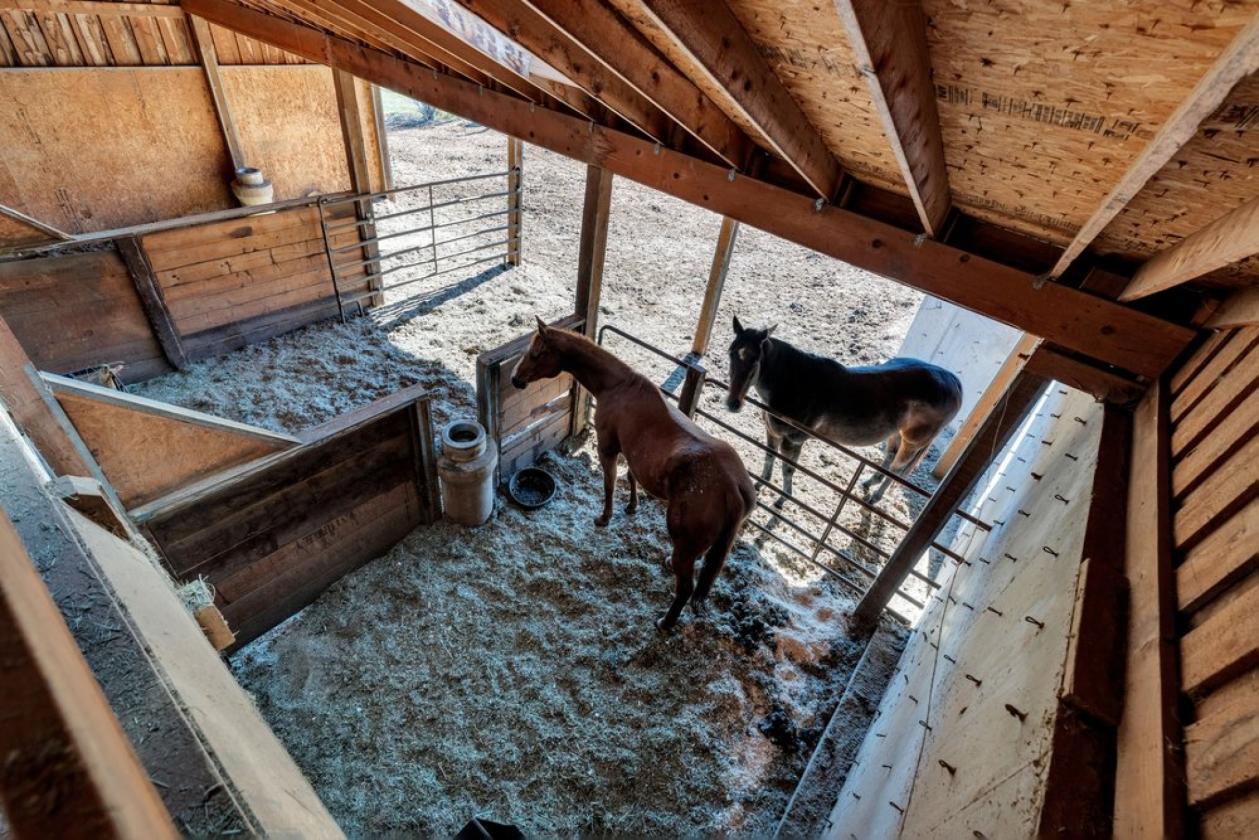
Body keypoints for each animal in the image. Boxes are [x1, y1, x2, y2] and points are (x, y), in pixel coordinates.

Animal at [511, 318, 755, 631]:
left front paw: (604, 518)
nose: (515, 379)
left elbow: (609, 484)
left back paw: (665, 623)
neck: (617, 386)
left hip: (686, 542)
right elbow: (631, 478)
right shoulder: (632, 452)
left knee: (686, 588)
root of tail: (733, 490)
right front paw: (631, 507)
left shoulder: (608, 448)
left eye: (537, 353)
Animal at [725, 316, 962, 503]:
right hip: (896, 434)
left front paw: (782, 499)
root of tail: (955, 383)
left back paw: (875, 498)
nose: (733, 403)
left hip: (912, 444)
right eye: (731, 353)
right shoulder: (772, 432)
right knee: (889, 458)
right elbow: (769, 458)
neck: (795, 382)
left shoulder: (793, 440)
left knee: (896, 469)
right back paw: (868, 483)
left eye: (756, 360)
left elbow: (788, 469)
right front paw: (760, 484)